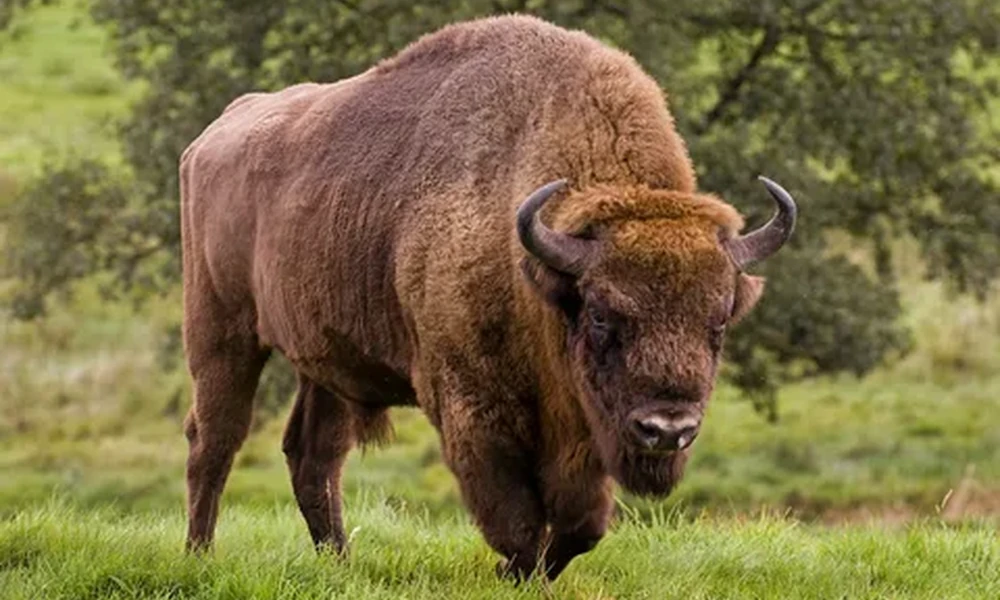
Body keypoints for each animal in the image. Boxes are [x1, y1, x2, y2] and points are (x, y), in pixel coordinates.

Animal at [179, 14, 797, 580]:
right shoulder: (475, 409)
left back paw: (340, 564)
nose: (667, 430)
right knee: (215, 439)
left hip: (326, 361)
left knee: (313, 454)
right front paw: (511, 570)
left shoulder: (579, 431)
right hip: (222, 333)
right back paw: (200, 556)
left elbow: (580, 526)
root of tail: (214, 134)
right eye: (601, 315)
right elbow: (516, 517)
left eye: (718, 322)